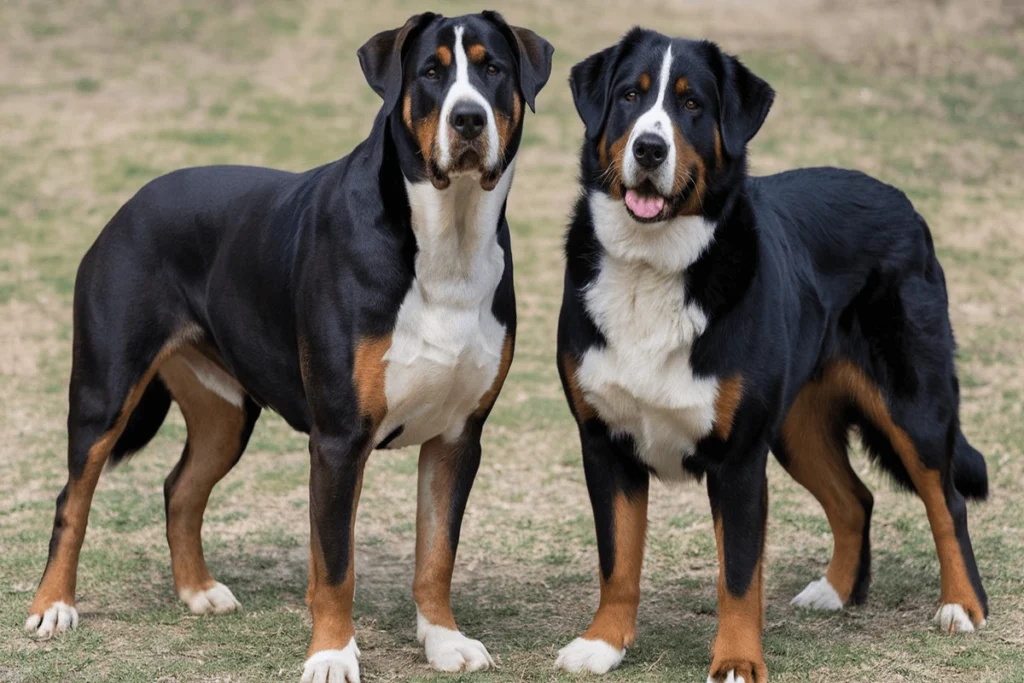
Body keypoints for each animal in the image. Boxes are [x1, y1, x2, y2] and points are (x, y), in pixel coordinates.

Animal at [25, 12, 552, 683]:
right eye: (431, 73)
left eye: (493, 70)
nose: (467, 119)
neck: (446, 238)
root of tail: (129, 206)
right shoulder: (339, 438)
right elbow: (335, 564)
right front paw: (331, 653)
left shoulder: (457, 437)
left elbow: (436, 555)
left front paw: (444, 641)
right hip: (105, 391)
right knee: (73, 498)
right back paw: (53, 606)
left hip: (225, 415)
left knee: (180, 489)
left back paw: (198, 591)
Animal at [557, 25, 987, 679]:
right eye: (630, 95)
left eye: (691, 104)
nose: (650, 149)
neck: (651, 266)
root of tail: (901, 201)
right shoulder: (605, 443)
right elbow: (617, 560)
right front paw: (603, 644)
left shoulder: (737, 460)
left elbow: (737, 575)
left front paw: (736, 660)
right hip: (795, 427)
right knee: (855, 499)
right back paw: (834, 592)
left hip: (913, 407)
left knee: (948, 502)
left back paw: (962, 605)